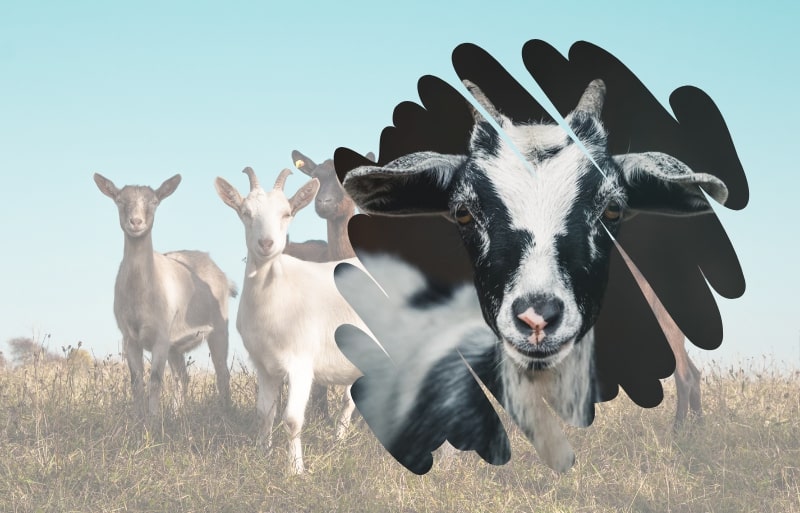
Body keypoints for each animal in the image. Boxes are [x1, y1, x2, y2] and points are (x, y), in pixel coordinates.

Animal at [94, 173, 235, 417]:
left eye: (154, 202)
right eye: (120, 200)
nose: (136, 222)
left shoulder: (160, 336)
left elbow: (155, 379)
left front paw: (152, 419)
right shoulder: (129, 337)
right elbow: (136, 381)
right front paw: (137, 418)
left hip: (219, 329)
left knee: (222, 373)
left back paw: (224, 412)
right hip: (176, 344)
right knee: (182, 378)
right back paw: (178, 414)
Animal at [214, 167, 365, 475]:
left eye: (286, 213)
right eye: (246, 212)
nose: (266, 243)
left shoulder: (301, 364)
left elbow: (292, 419)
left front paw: (295, 470)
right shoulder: (264, 365)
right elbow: (265, 414)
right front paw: (262, 456)